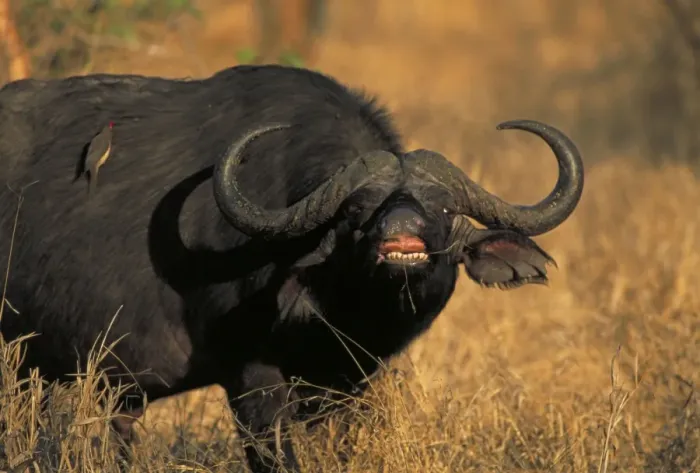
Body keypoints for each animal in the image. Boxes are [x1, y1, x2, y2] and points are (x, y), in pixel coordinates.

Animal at [0, 64, 584, 473]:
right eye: (356, 210)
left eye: (441, 209)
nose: (400, 237)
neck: (336, 314)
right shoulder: (252, 379)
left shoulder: (345, 385)